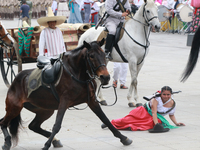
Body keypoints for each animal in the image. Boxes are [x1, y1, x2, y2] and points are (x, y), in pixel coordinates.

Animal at [0, 39, 133, 150]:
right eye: (91, 56)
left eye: (104, 55)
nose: (105, 77)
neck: (76, 73)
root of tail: (16, 80)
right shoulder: (64, 102)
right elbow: (57, 125)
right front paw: (46, 145)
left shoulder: (91, 101)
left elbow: (105, 119)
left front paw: (123, 138)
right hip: (14, 107)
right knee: (3, 122)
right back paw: (7, 142)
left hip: (45, 110)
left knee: (34, 126)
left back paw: (54, 140)